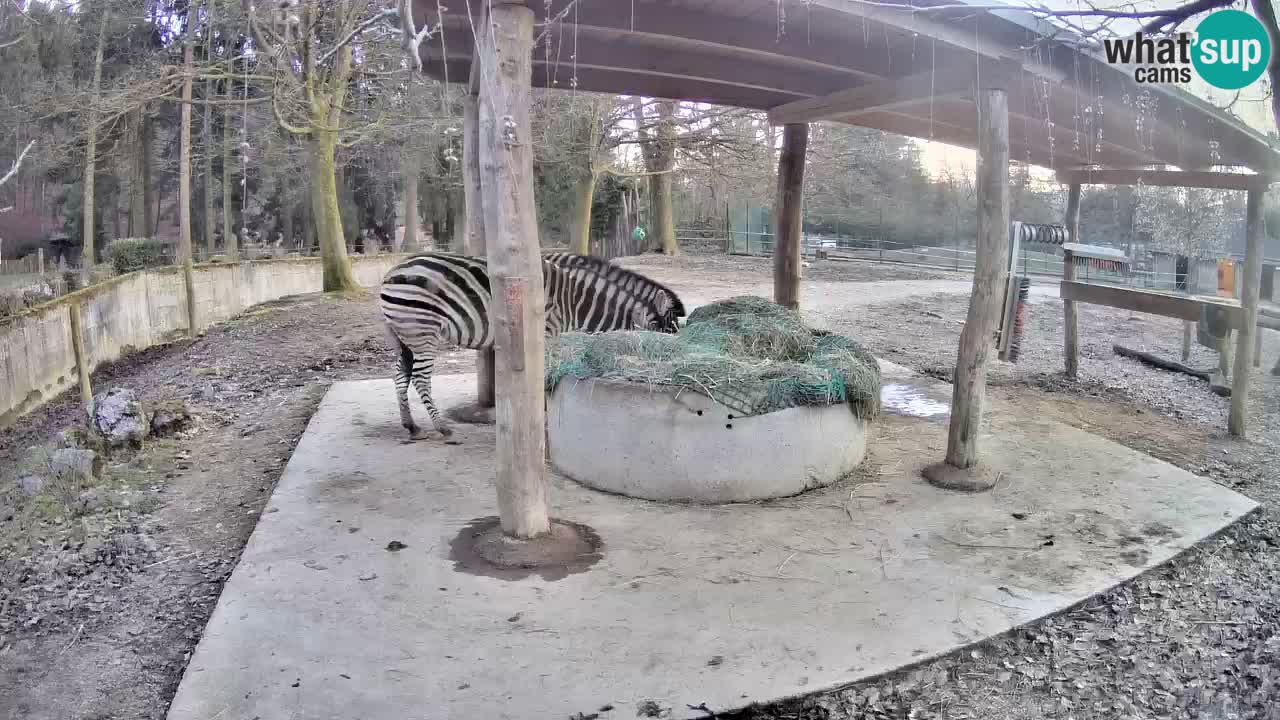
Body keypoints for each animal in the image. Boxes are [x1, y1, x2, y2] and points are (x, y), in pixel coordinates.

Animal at [376, 252, 686, 438]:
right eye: (667, 336)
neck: (576, 303)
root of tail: (390, 273)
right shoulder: (546, 334)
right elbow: (542, 380)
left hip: (403, 336)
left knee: (400, 375)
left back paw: (411, 426)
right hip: (422, 332)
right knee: (420, 378)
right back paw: (441, 428)